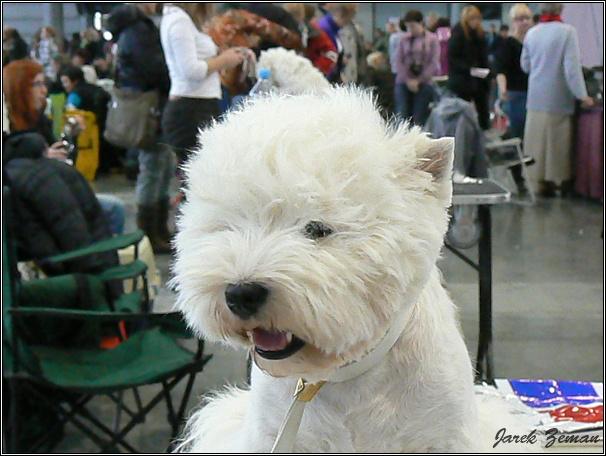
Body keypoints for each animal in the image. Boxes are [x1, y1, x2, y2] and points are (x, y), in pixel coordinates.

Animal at [171, 88, 540, 452]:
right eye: (228, 225)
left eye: (318, 229)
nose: (240, 293)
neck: (343, 377)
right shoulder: (267, 436)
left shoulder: (447, 437)